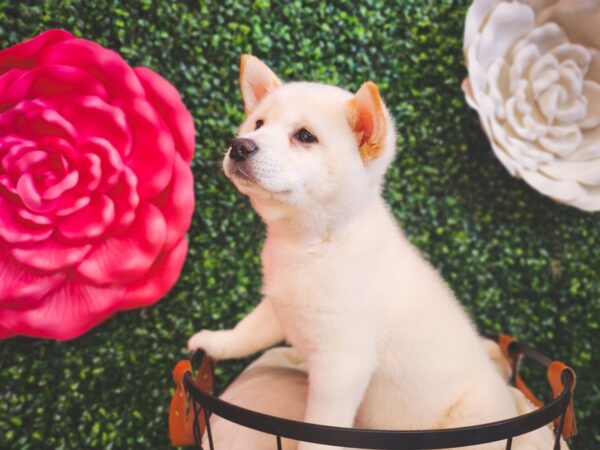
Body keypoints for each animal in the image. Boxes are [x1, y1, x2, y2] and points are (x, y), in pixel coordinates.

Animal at [189, 56, 568, 450]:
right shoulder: (278, 305)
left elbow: (321, 427)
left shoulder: (342, 364)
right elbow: (246, 332)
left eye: (305, 136)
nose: (240, 145)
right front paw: (215, 340)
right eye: (258, 124)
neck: (314, 243)